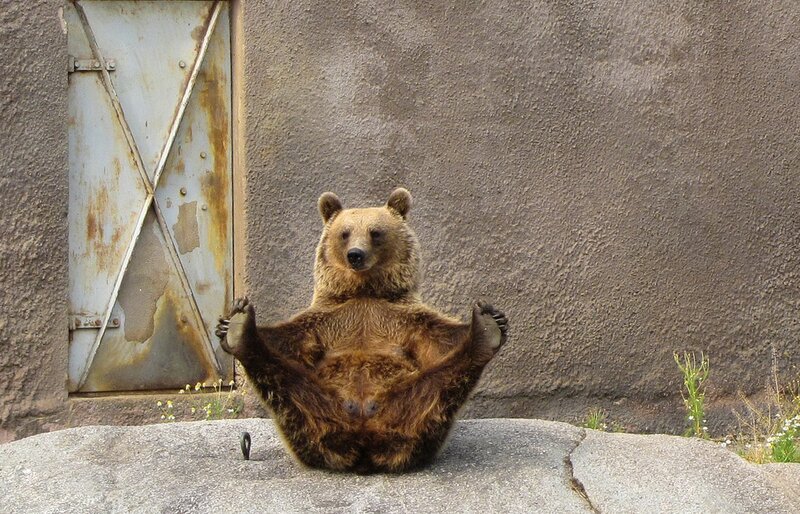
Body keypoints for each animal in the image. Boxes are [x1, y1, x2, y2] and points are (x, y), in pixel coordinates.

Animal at [216, 188, 508, 473]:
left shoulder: (403, 318)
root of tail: (364, 443)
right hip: (313, 411)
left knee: (439, 387)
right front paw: (227, 323)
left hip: (408, 405)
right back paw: (241, 331)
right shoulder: (327, 320)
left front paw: (495, 317)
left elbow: (440, 338)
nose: (355, 254)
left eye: (375, 232)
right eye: (345, 233)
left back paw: (485, 333)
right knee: (286, 384)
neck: (364, 291)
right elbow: (288, 339)